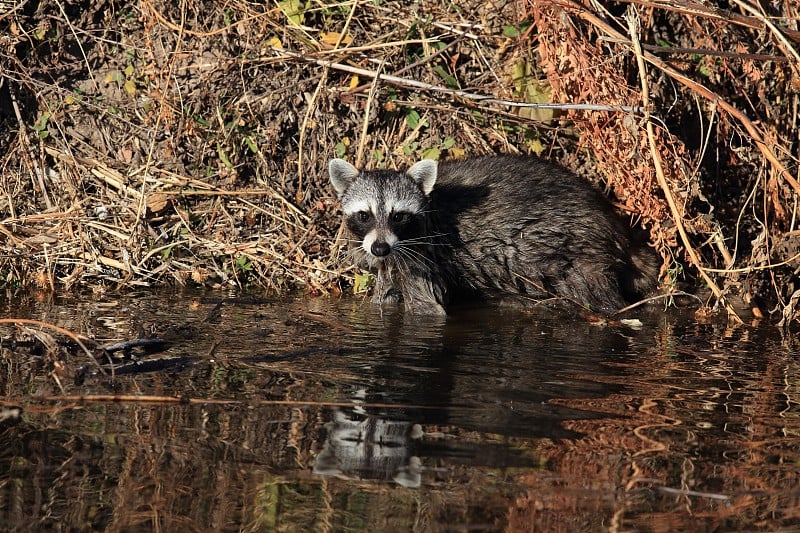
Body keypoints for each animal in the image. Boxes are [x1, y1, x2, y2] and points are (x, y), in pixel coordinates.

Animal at [328, 153, 660, 316]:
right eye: (364, 215)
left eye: (398, 216)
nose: (380, 249)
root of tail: (611, 219)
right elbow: (384, 297)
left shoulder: (424, 255)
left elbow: (427, 309)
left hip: (576, 247)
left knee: (593, 292)